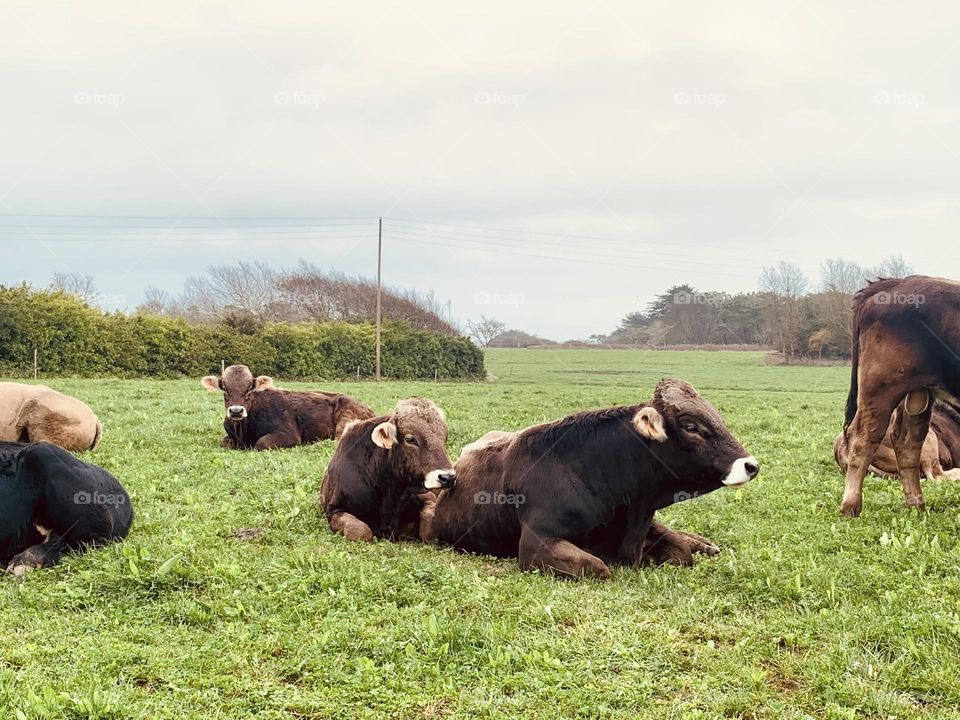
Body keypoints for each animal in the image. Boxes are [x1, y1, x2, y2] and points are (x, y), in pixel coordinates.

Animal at [201, 365, 374, 450]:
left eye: (250, 388)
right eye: (224, 388)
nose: (236, 411)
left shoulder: (288, 433)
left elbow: (261, 443)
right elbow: (223, 442)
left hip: (346, 417)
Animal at [320, 398, 456, 542]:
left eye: (444, 437)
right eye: (410, 439)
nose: (448, 477)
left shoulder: (428, 497)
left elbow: (429, 529)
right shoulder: (334, 509)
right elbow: (361, 531)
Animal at [841, 276, 960, 516]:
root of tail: (895, 282)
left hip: (918, 393)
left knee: (908, 443)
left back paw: (916, 504)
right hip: (881, 388)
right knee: (862, 438)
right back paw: (851, 506)